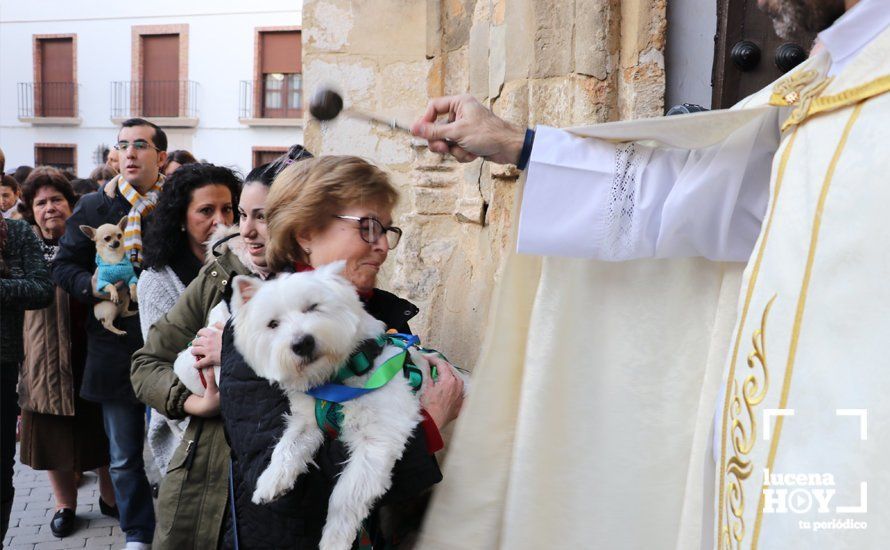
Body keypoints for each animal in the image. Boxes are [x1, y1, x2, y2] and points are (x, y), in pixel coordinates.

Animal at [227, 264, 424, 550]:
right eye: (272, 324)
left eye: (313, 307)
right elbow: (288, 445)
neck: (338, 376)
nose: (302, 343)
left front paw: (334, 540)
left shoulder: (379, 436)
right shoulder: (308, 420)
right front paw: (270, 481)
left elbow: (346, 494)